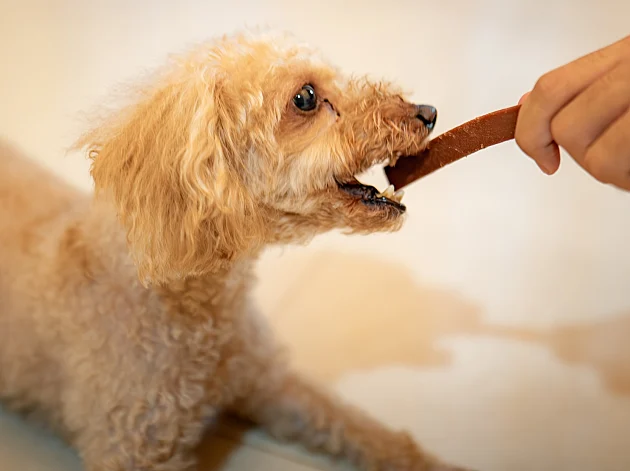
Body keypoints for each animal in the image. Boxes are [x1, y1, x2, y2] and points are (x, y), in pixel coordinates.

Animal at [0, 30, 472, 471]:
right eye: (306, 97)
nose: (428, 112)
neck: (195, 309)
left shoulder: (268, 381)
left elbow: (356, 426)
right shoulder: (133, 446)